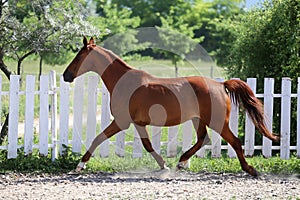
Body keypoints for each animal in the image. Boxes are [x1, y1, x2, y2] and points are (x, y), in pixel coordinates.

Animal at [62, 36, 278, 176]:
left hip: (217, 122)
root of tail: (221, 85)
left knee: (234, 141)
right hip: (198, 120)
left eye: (79, 57)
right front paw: (163, 165)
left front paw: (80, 165)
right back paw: (181, 163)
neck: (124, 82)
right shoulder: (138, 123)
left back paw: (250, 169)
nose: (66, 75)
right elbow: (147, 145)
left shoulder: (122, 121)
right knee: (204, 139)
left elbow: (98, 138)